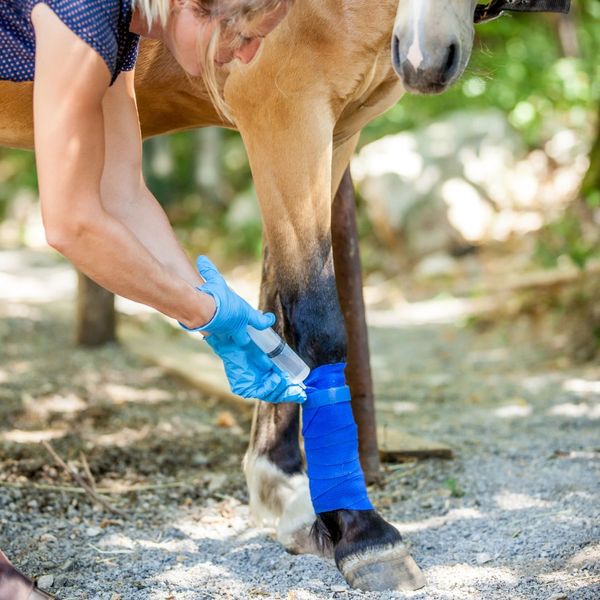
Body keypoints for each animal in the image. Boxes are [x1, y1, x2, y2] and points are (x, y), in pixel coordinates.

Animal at [0, 0, 568, 592]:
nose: (423, 57)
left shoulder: (335, 130)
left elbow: (277, 309)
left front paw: (286, 491)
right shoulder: (285, 111)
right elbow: (317, 318)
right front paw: (361, 531)